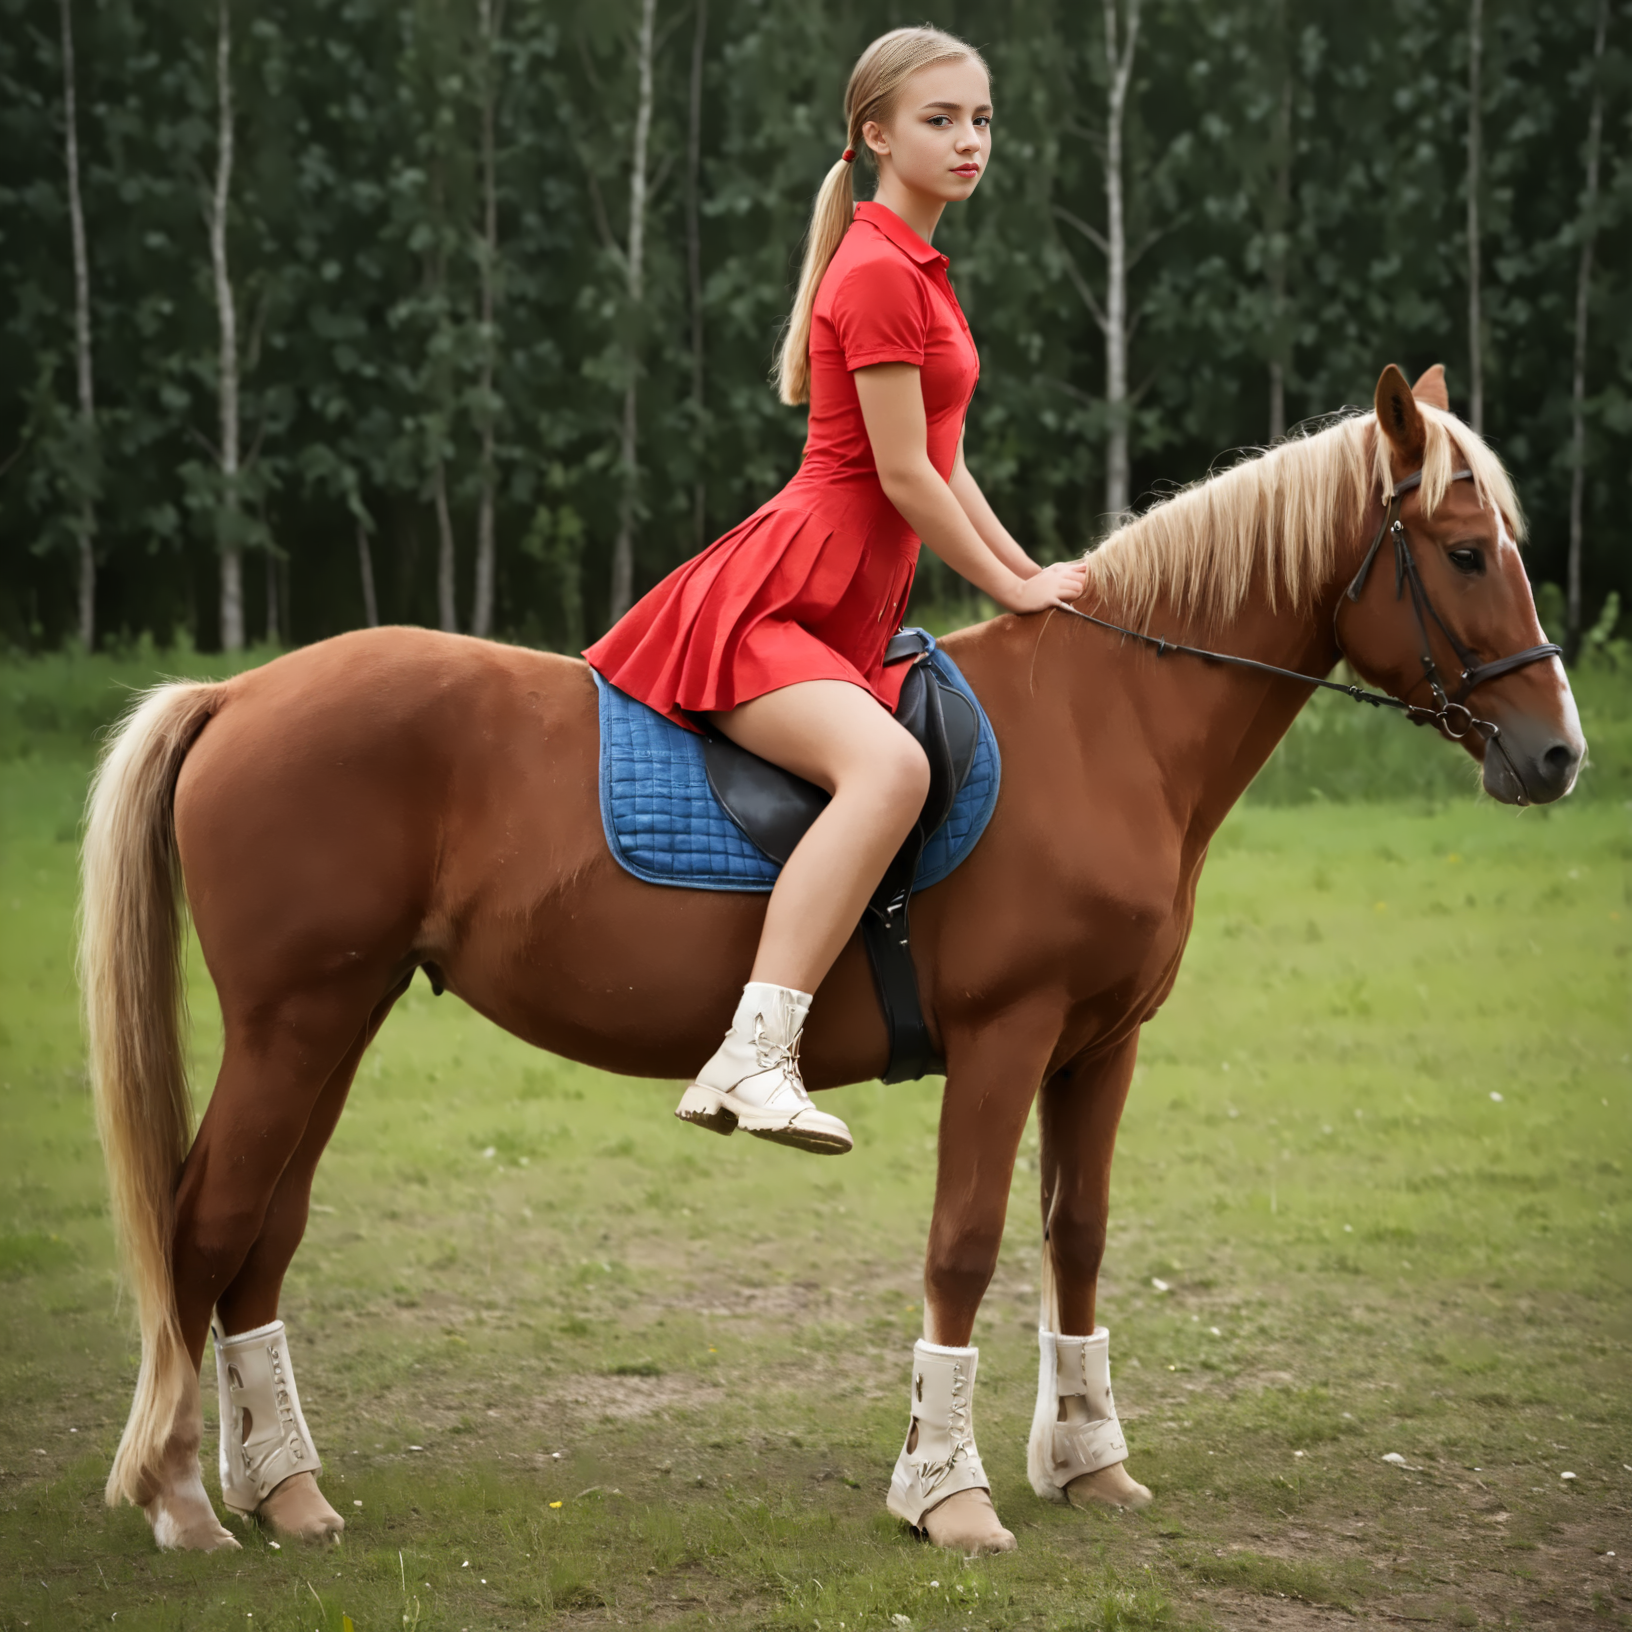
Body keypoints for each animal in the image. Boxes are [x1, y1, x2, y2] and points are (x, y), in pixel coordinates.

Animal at [80, 365, 1583, 1556]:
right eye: (1463, 554)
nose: (1560, 753)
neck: (1108, 724)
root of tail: (240, 693)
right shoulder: (1007, 1038)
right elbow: (966, 1246)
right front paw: (947, 1495)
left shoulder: (1100, 1044)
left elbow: (1078, 1235)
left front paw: (1087, 1463)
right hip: (295, 1023)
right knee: (204, 1223)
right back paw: (184, 1500)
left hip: (336, 1020)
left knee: (262, 1234)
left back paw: (285, 1493)